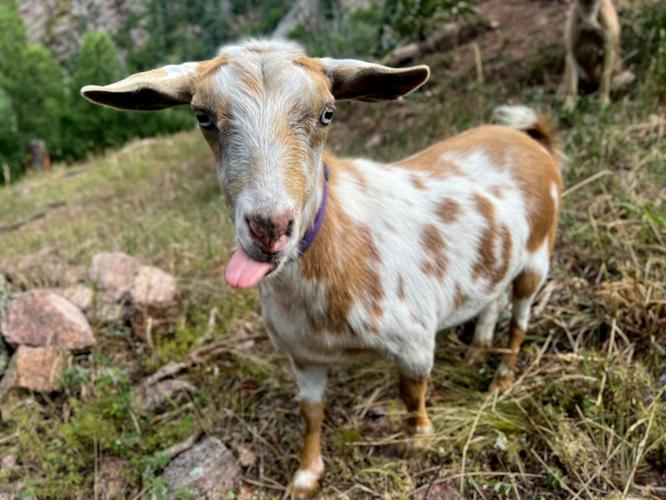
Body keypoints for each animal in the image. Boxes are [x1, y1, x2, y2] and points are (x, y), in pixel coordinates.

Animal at [82, 40, 562, 496]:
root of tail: (530, 139)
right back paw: (479, 347)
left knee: (520, 318)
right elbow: (310, 412)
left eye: (327, 113)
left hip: (538, 253)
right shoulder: (304, 354)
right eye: (203, 117)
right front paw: (306, 475)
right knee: (492, 298)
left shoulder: (413, 338)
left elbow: (411, 395)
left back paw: (501, 379)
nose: (270, 227)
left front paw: (419, 440)